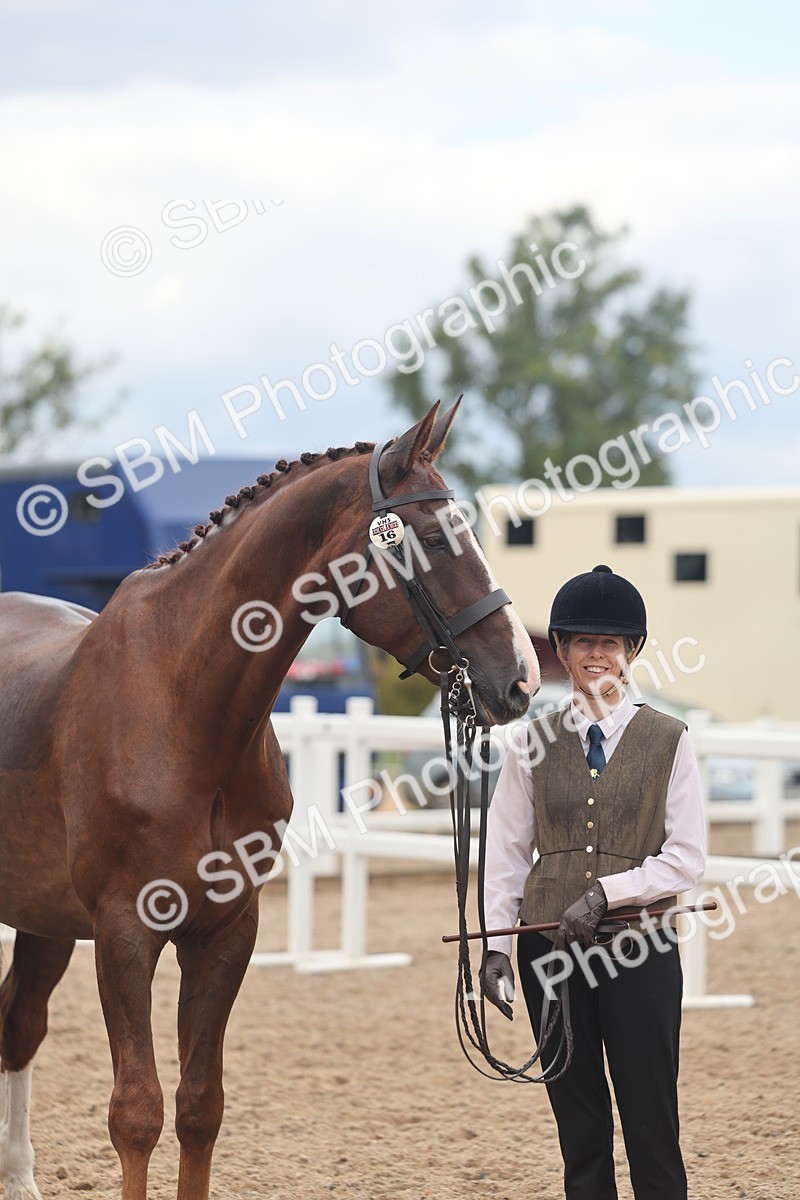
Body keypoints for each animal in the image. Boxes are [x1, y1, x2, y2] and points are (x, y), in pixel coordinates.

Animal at [0, 400, 539, 1200]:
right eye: (437, 536)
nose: (521, 681)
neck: (180, 707)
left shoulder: (226, 933)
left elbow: (199, 1107)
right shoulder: (125, 933)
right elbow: (136, 1112)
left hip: (43, 920)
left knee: (20, 1025)